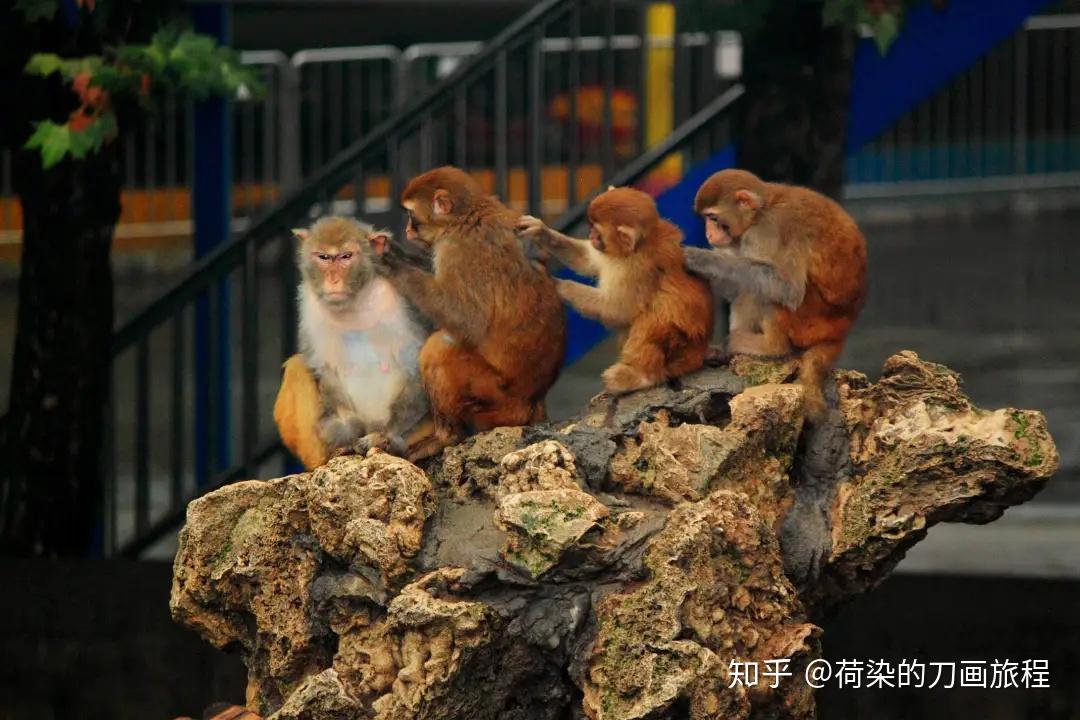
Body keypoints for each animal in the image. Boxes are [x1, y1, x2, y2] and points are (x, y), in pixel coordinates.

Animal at [272, 213, 432, 468]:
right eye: (324, 257)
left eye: (346, 256)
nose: (333, 279)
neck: (355, 301)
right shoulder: (311, 309)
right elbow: (325, 370)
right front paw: (345, 434)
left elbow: (414, 363)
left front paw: (382, 436)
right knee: (297, 367)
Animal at [375, 167, 565, 462]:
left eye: (410, 215)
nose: (406, 229)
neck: (466, 216)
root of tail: (532, 406)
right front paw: (393, 251)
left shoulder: (456, 249)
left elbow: (466, 319)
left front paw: (393, 265)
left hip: (496, 401)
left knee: (439, 347)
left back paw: (447, 437)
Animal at [516, 187, 712, 395]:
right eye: (591, 227)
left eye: (597, 231)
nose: (591, 236)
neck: (636, 248)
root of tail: (698, 354)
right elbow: (587, 260)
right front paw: (541, 232)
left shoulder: (636, 269)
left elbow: (618, 310)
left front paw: (557, 284)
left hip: (682, 350)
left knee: (657, 312)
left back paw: (643, 376)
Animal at [682, 168, 868, 418]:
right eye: (706, 219)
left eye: (712, 218)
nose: (708, 234)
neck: (762, 209)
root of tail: (842, 329)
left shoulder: (766, 231)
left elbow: (787, 289)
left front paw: (701, 258)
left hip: (809, 322)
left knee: (765, 293)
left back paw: (770, 347)